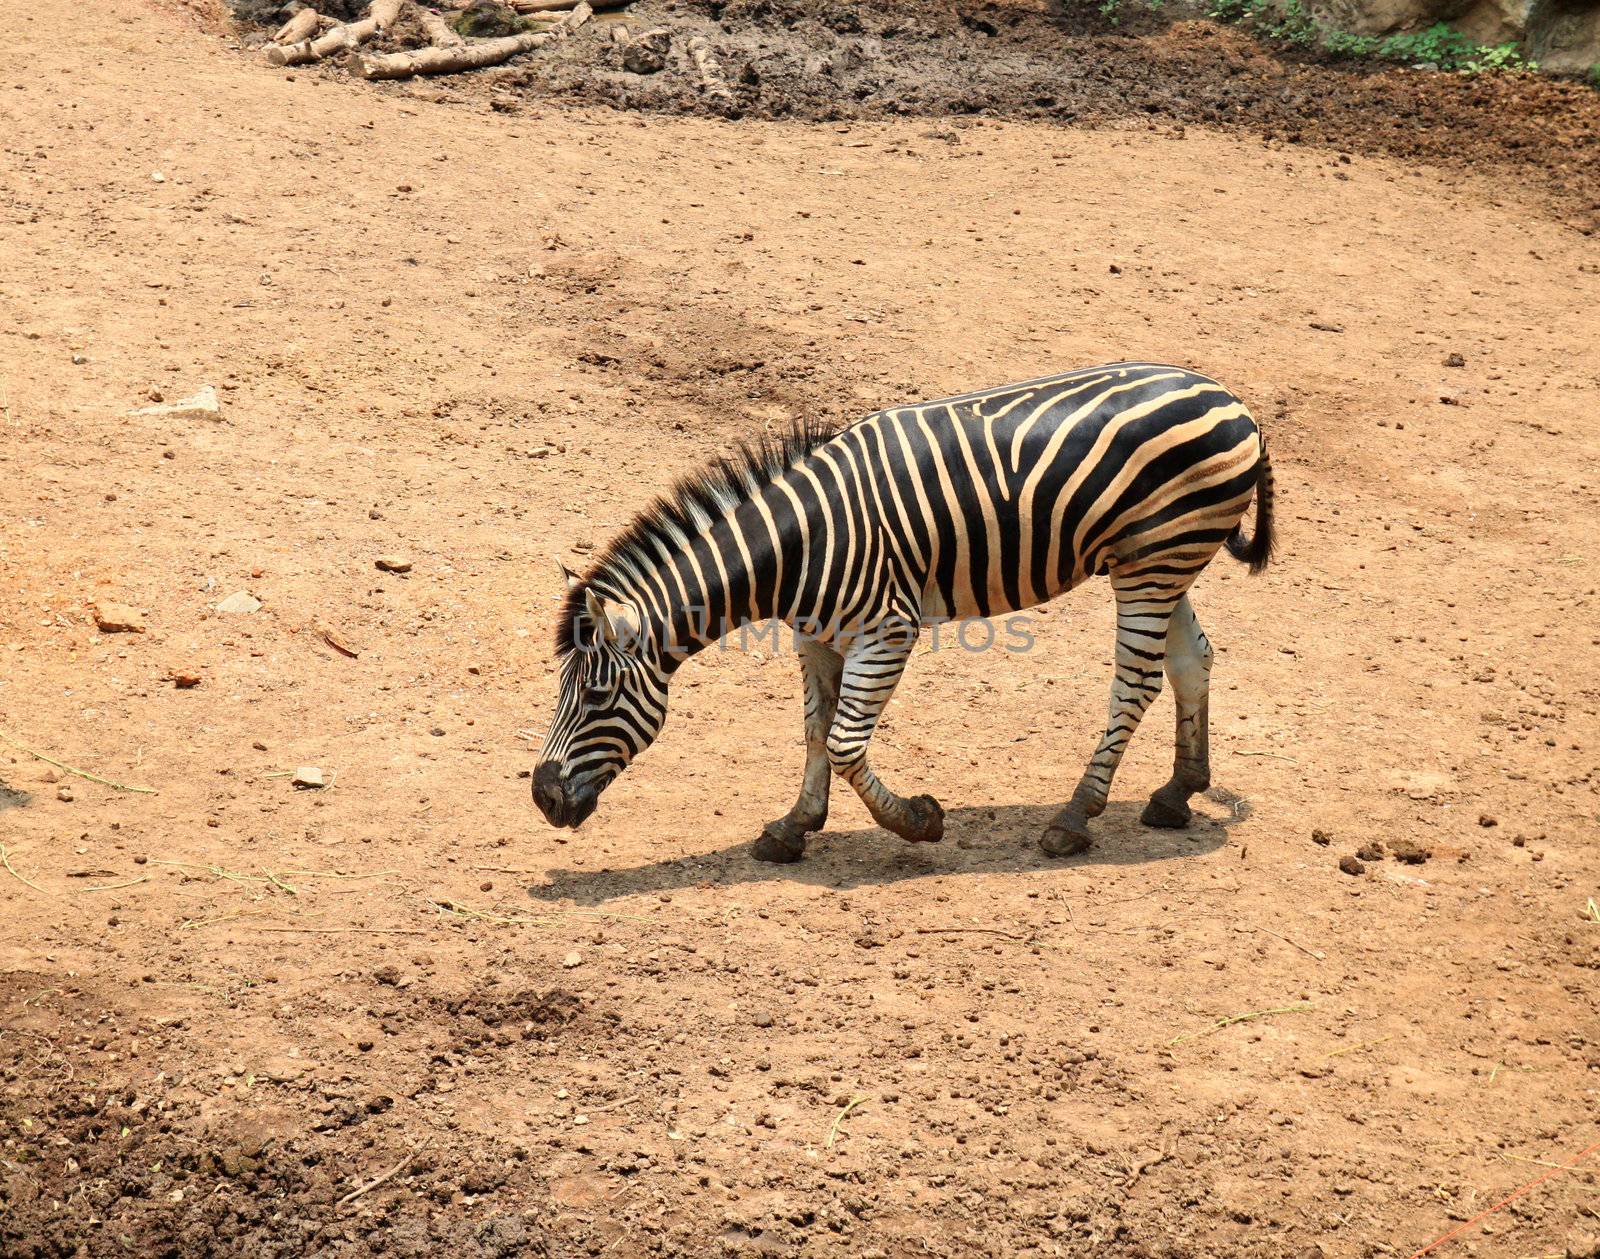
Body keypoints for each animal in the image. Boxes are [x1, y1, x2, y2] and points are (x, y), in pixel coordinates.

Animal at [534, 359, 1273, 863]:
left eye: (595, 697)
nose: (542, 797)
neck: (798, 545)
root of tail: (1232, 400)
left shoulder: (888, 630)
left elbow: (843, 742)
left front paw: (917, 821)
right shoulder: (814, 638)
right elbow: (815, 731)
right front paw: (794, 826)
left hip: (1153, 563)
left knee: (1136, 682)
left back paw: (1073, 817)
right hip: (1155, 558)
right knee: (1192, 659)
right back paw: (1178, 792)